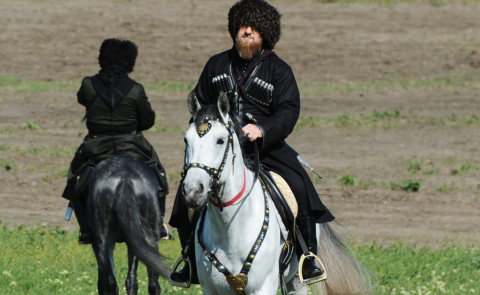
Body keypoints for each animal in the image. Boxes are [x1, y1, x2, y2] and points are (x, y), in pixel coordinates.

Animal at [88, 157, 171, 294]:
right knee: (143, 281)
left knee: (112, 281)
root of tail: (125, 179)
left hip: (105, 241)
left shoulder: (97, 244)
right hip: (145, 239)